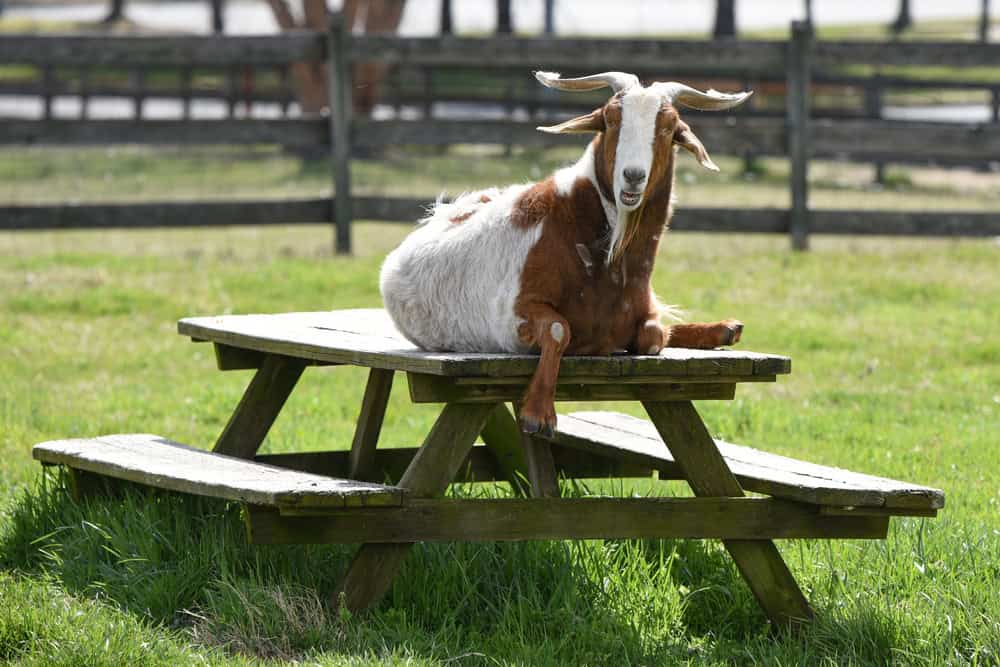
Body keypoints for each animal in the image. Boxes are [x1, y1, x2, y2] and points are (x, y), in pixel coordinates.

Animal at [380, 71, 752, 435]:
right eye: (610, 119)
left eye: (669, 127)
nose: (633, 176)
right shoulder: (512, 315)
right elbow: (561, 330)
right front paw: (539, 414)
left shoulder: (641, 316)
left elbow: (653, 334)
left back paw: (726, 328)